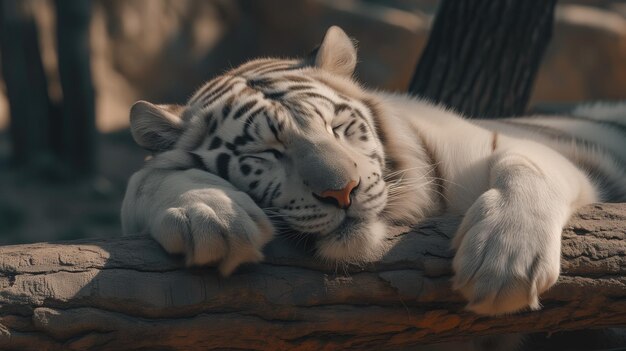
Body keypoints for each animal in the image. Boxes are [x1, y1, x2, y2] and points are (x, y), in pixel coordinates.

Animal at [122, 24, 624, 316]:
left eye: (339, 127)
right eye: (267, 152)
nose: (342, 192)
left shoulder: (509, 144)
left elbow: (524, 165)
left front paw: (504, 263)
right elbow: (146, 178)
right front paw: (213, 214)